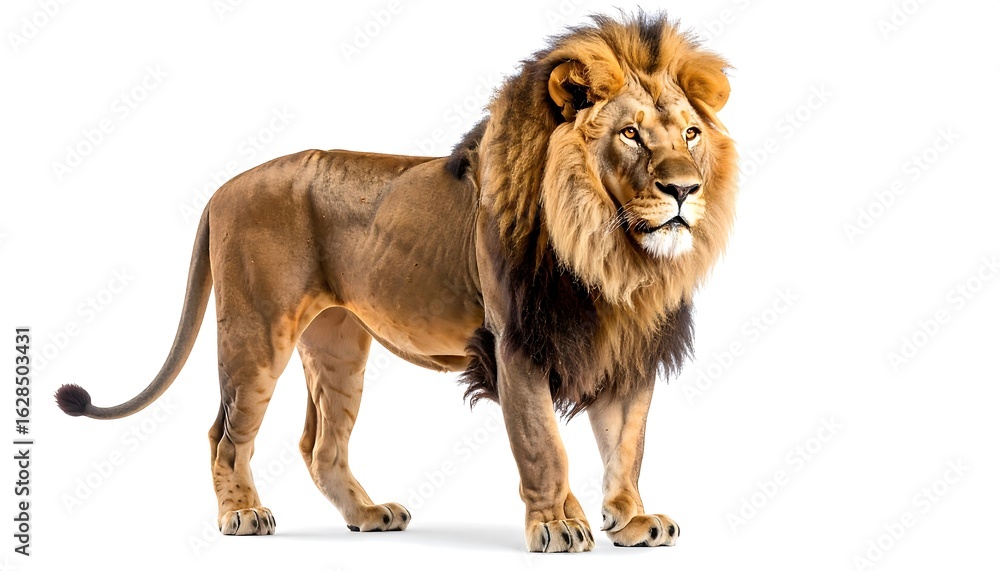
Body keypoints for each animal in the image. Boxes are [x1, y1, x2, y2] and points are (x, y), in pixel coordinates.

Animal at [55, 13, 738, 552]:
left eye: (690, 134)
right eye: (630, 134)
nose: (684, 189)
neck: (611, 254)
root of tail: (223, 188)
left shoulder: (626, 348)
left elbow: (626, 445)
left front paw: (631, 521)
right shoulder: (515, 343)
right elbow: (544, 443)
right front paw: (558, 524)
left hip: (338, 343)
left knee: (320, 445)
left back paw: (367, 514)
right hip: (256, 331)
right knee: (225, 432)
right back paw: (242, 514)